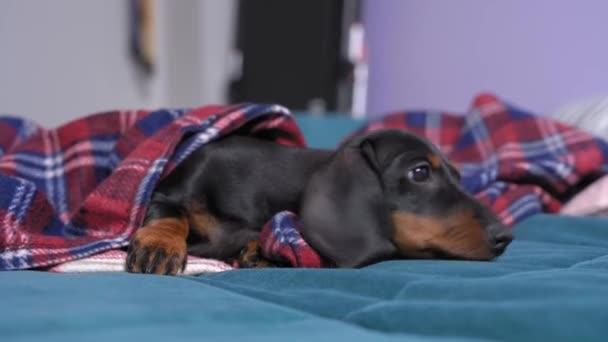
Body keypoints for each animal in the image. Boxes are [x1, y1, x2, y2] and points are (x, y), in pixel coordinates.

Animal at [127, 129, 512, 276]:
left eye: (459, 176)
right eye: (420, 172)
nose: (505, 237)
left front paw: (259, 251)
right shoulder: (168, 191)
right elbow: (171, 214)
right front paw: (159, 245)